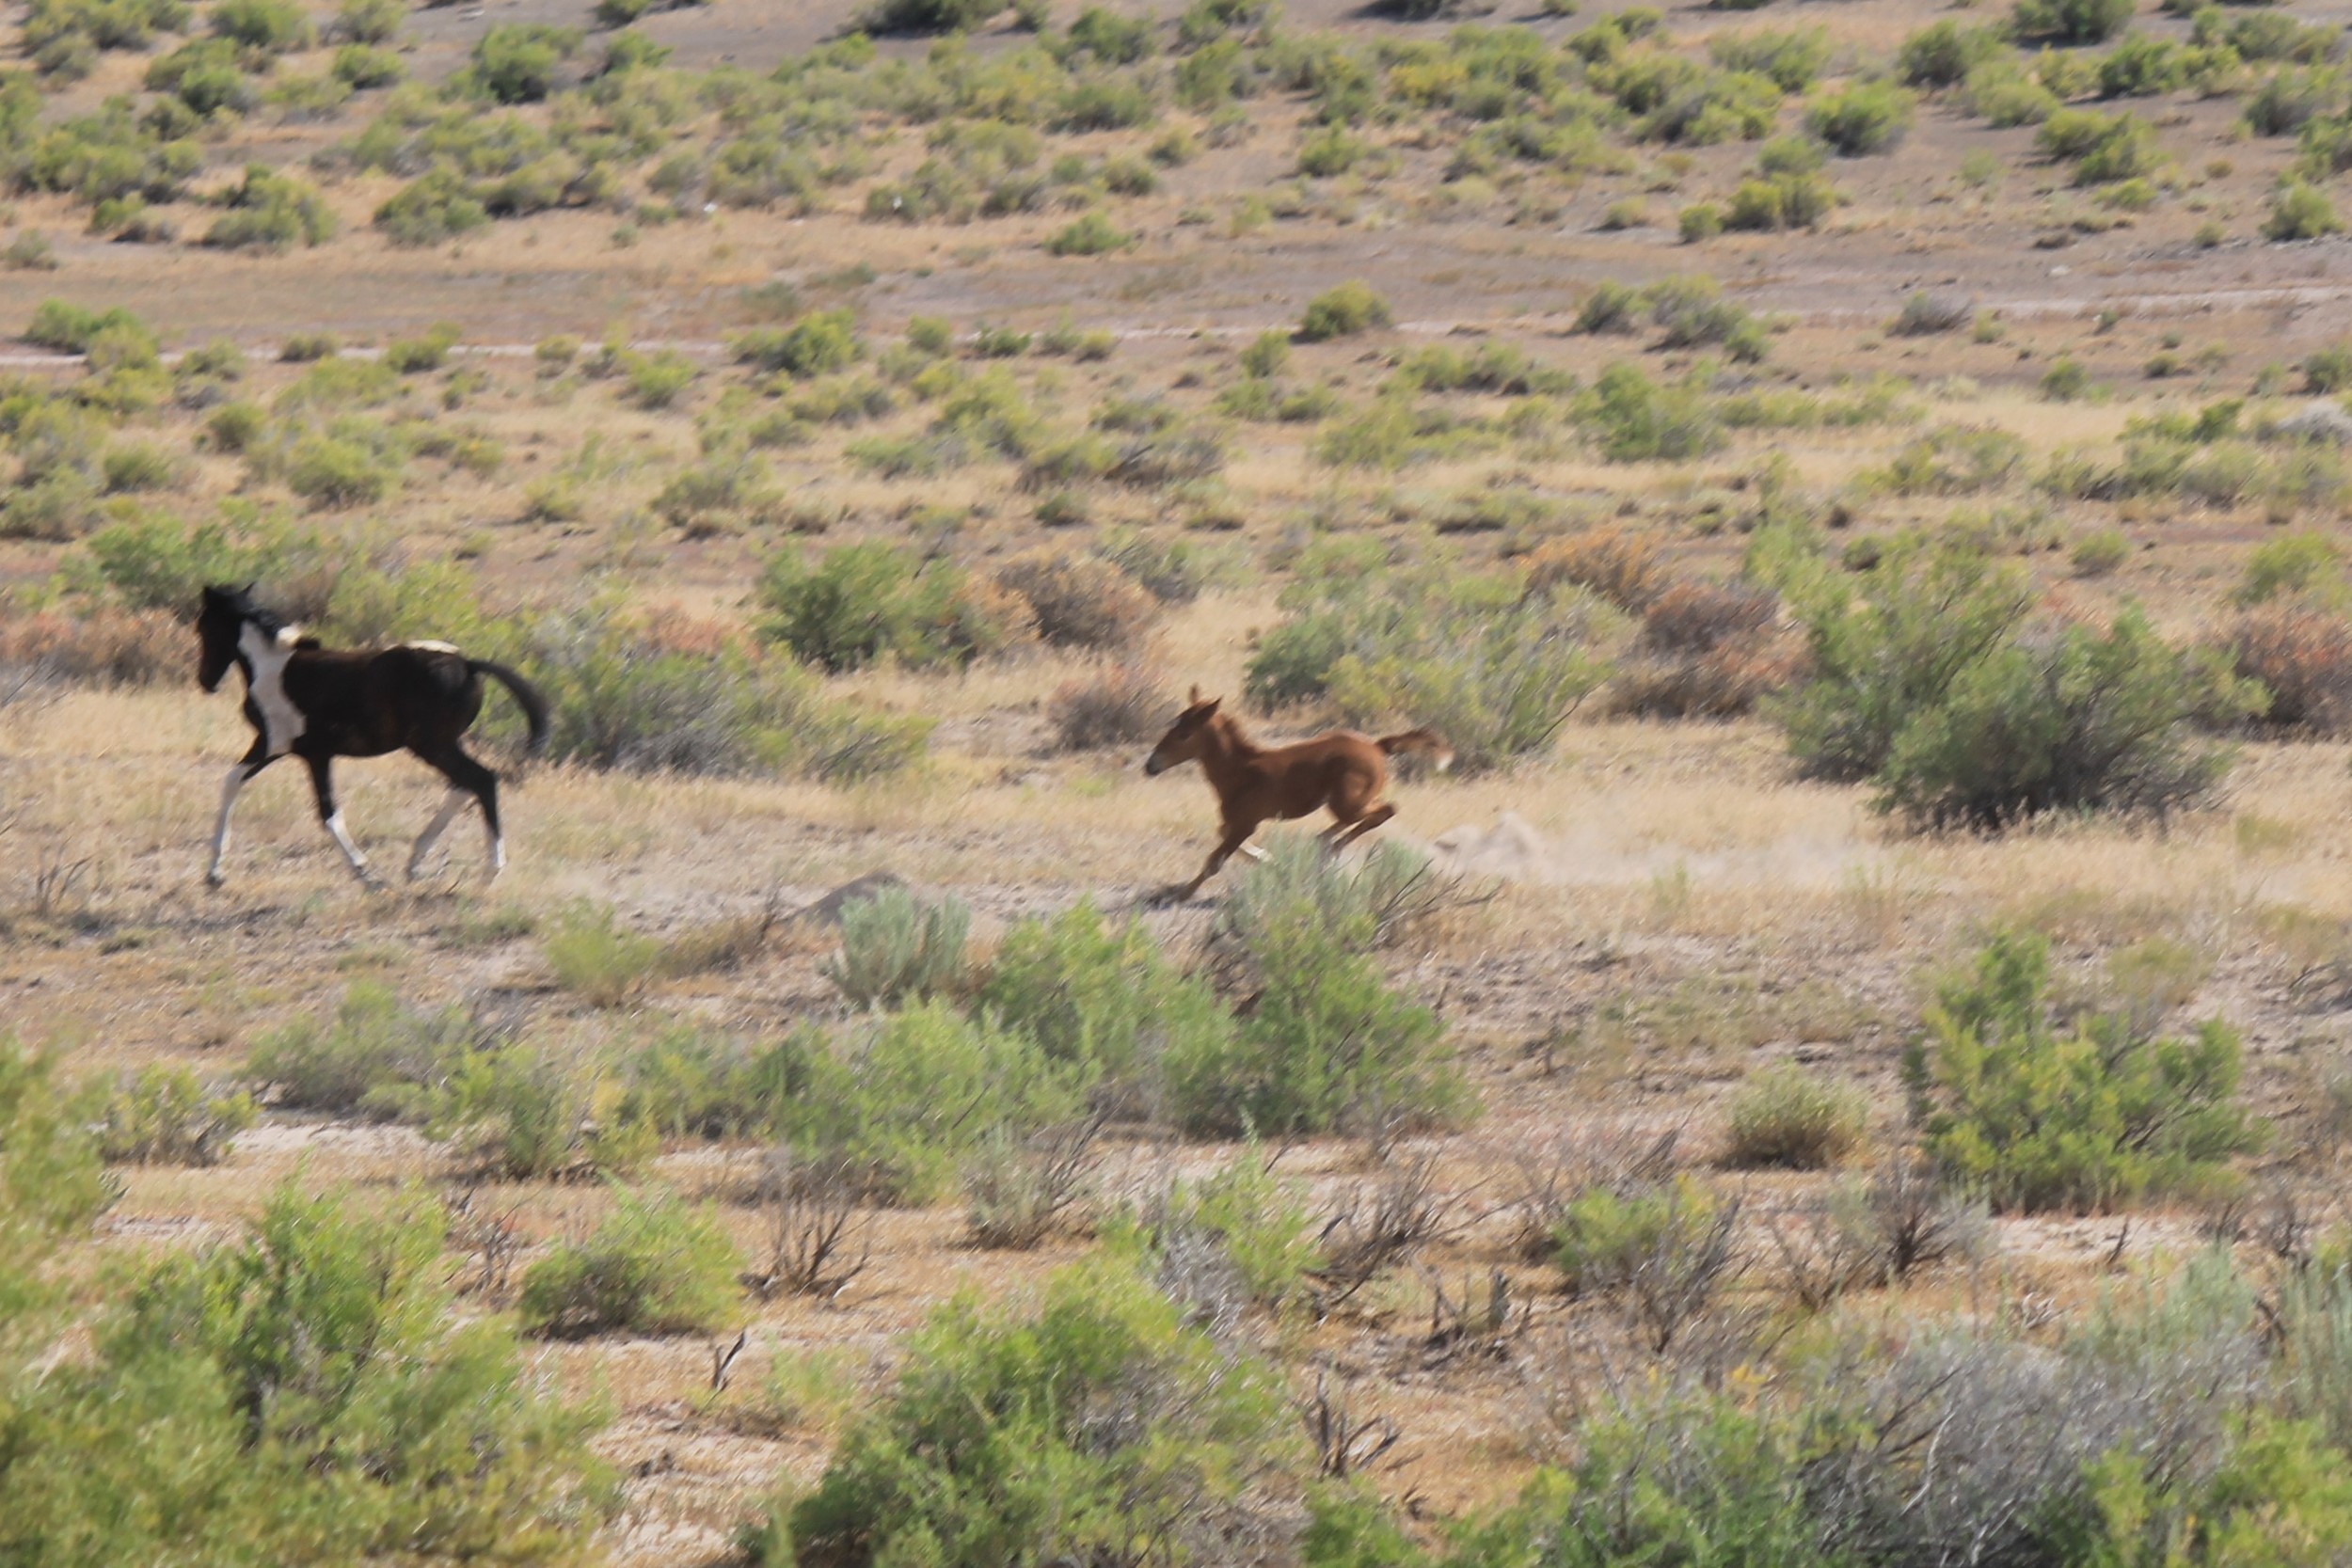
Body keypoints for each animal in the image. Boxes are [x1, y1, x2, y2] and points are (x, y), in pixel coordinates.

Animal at [193, 585, 550, 888]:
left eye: (204, 629)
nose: (206, 681)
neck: (272, 669)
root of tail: (467, 665)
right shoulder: (288, 749)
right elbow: (234, 782)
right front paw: (215, 873)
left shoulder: (293, 748)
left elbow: (326, 813)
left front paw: (368, 875)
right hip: (442, 744)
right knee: (464, 785)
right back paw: (416, 861)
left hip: (431, 745)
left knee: (481, 780)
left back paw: (490, 871)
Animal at [1143, 690, 1449, 902]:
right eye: (1174, 725)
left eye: (1184, 734)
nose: (1150, 765)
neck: (1241, 770)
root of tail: (1377, 747)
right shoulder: (1235, 823)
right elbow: (1224, 839)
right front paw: (1267, 859)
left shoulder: (1246, 824)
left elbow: (1214, 861)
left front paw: (1180, 894)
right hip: (1349, 801)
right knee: (1369, 815)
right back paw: (1324, 842)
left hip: (1346, 803)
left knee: (1385, 810)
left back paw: (1331, 847)